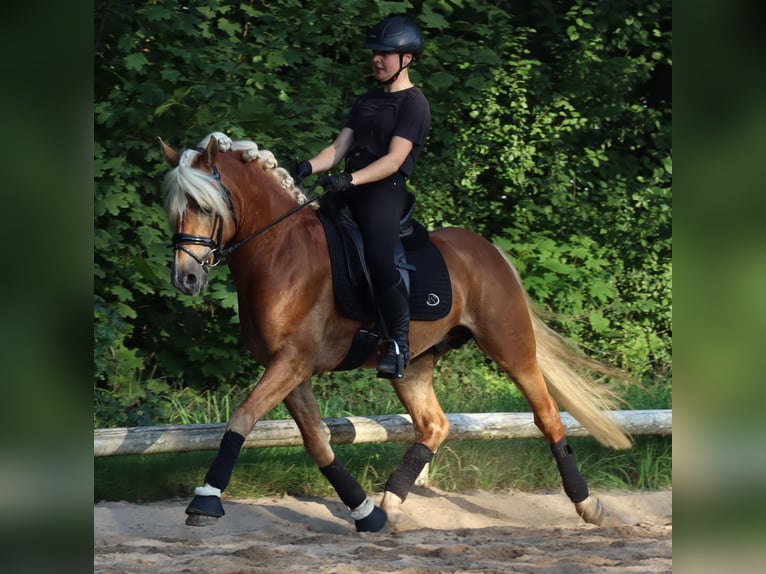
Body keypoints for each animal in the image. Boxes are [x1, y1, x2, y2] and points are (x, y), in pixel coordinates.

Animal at [160, 132, 632, 536]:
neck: (279, 251)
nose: (186, 279)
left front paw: (205, 502)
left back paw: (589, 506)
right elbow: (317, 441)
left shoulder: (293, 361)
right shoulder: (290, 369)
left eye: (206, 206)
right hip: (415, 363)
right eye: (175, 209)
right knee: (433, 425)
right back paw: (390, 503)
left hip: (509, 345)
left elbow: (243, 418)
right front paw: (365, 513)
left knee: (547, 414)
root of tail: (488, 250)